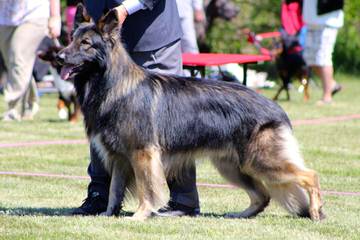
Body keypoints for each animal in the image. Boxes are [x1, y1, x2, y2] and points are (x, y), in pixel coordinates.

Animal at [57, 4, 324, 221]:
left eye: (86, 43)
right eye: (70, 39)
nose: (59, 57)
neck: (111, 83)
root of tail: (276, 107)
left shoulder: (143, 154)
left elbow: (147, 189)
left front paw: (141, 214)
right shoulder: (120, 158)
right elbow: (114, 190)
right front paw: (107, 214)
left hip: (261, 161)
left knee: (310, 175)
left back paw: (316, 212)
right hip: (233, 166)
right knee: (263, 195)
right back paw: (241, 214)